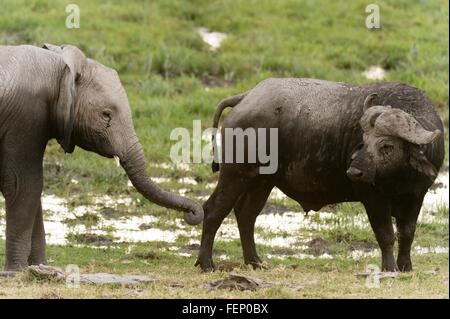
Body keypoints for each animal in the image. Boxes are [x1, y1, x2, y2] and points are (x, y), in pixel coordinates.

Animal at [0, 43, 203, 272]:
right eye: (106, 115)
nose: (192, 214)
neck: (59, 66)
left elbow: (33, 189)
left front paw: (39, 267)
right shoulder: (26, 117)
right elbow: (23, 185)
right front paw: (16, 272)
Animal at [197, 79, 442, 274]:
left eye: (387, 146)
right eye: (364, 139)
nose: (354, 171)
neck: (399, 178)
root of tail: (245, 97)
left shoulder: (416, 196)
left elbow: (407, 233)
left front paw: (406, 267)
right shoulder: (373, 198)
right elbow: (386, 234)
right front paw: (390, 268)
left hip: (262, 182)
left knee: (246, 215)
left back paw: (255, 262)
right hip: (235, 175)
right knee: (213, 211)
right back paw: (207, 264)